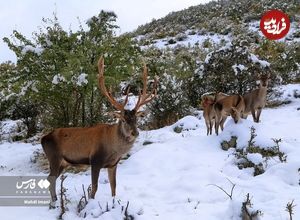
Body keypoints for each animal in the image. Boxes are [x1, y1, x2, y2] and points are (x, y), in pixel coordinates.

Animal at [42, 57, 159, 206]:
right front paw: (89, 203)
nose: (135, 133)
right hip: (54, 157)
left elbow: (114, 185)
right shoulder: (95, 160)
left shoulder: (113, 164)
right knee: (50, 179)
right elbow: (94, 187)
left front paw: (114, 202)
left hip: (63, 163)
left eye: (136, 119)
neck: (113, 150)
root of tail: (43, 138)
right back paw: (54, 203)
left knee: (51, 179)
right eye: (124, 120)